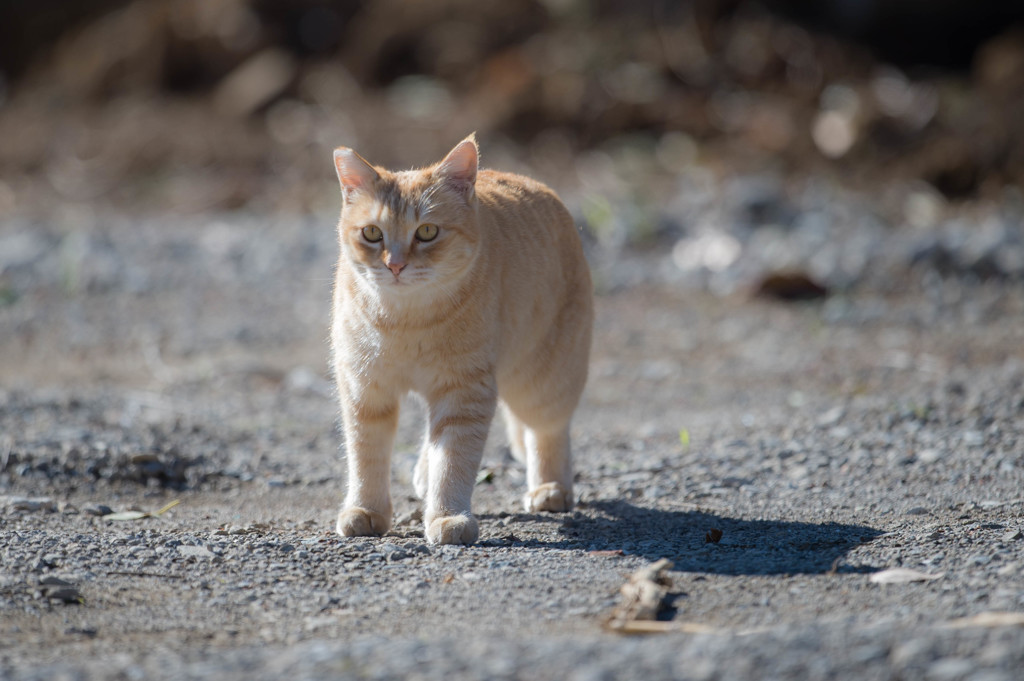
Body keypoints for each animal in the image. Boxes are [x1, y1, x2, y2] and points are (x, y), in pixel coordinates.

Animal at [331, 135, 598, 544]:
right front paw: (366, 510)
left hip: (542, 382)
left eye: (427, 232)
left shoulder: (464, 393)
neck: (405, 321)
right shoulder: (365, 389)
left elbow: (453, 461)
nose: (395, 265)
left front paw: (447, 516)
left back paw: (550, 489)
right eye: (372, 234)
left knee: (549, 431)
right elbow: (366, 455)